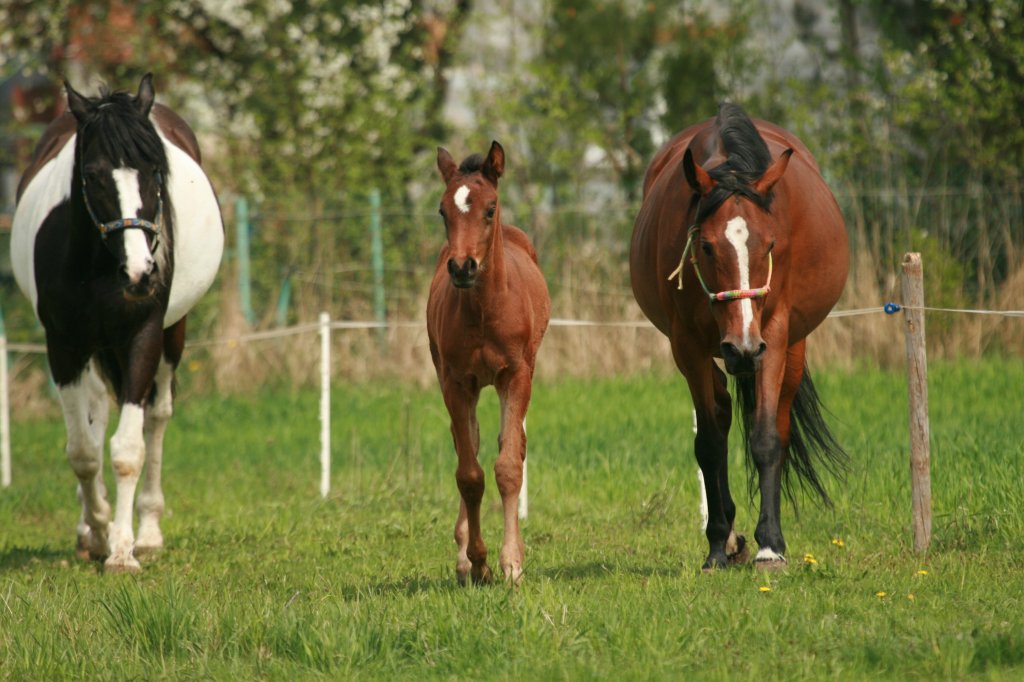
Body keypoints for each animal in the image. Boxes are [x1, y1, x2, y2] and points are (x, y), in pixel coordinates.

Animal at [11, 74, 223, 569]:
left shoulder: (141, 338)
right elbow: (83, 451)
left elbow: (128, 449)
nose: (141, 274)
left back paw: (148, 531)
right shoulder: (63, 346)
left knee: (157, 418)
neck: (100, 267)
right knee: (96, 411)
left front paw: (124, 549)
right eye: (91, 176)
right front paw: (98, 531)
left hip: (172, 335)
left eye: (156, 171)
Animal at [425, 140, 552, 581]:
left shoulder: (516, 375)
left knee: (510, 447)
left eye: (490, 208)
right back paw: (464, 556)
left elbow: (508, 466)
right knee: (470, 442)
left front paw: (511, 563)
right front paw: (476, 562)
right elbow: (469, 473)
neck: (483, 311)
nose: (463, 267)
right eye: (442, 210)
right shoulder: (455, 381)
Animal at [630, 102, 847, 569]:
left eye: (770, 245)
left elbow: (766, 438)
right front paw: (717, 545)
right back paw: (729, 535)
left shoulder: (774, 337)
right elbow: (710, 442)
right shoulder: (688, 347)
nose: (743, 348)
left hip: (791, 349)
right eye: (707, 246)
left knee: (778, 426)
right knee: (722, 409)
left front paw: (770, 545)